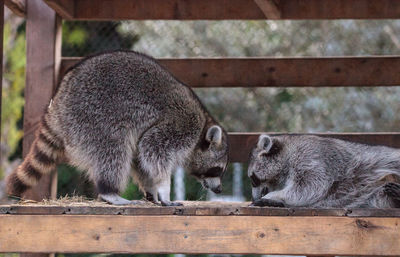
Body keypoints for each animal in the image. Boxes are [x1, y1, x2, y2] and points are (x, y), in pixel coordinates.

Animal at [7, 50, 228, 206]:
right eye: (217, 169)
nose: (219, 190)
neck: (202, 129)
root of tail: (58, 101)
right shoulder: (180, 126)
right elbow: (153, 149)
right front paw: (164, 189)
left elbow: (141, 158)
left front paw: (152, 189)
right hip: (91, 115)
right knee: (113, 149)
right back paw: (109, 191)